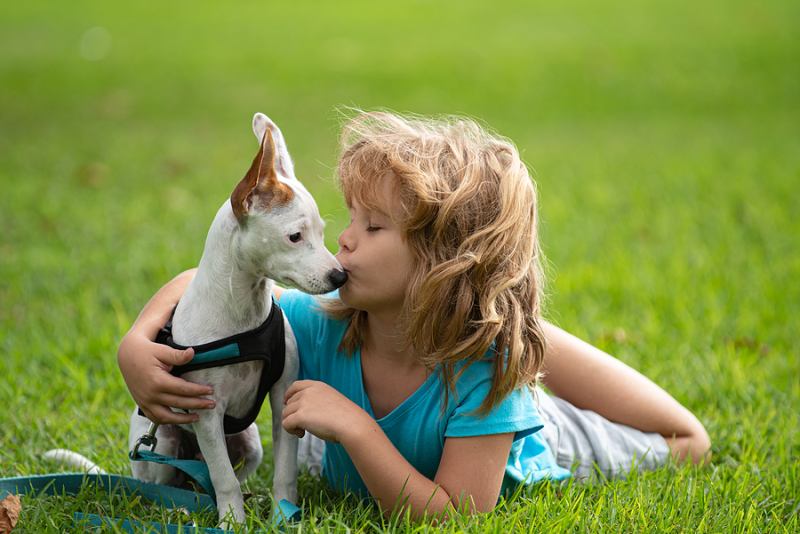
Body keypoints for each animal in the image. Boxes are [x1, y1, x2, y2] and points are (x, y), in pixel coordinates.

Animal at [126, 113, 346, 528]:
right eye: (295, 236)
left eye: (323, 233)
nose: (340, 276)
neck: (243, 317)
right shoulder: (207, 413)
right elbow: (222, 477)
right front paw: (232, 523)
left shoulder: (283, 398)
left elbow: (284, 471)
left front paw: (282, 514)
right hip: (162, 442)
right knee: (172, 483)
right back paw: (181, 506)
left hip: (249, 444)